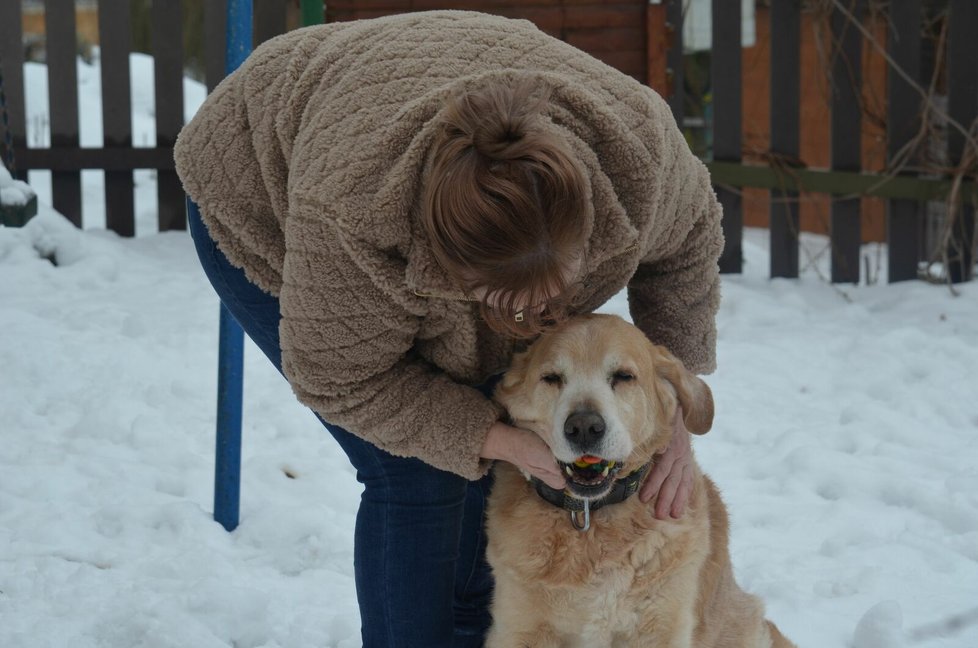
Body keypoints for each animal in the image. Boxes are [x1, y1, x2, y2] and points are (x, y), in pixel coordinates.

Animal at [488, 316, 792, 648]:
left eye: (623, 376)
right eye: (552, 378)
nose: (584, 427)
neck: (589, 518)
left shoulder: (659, 627)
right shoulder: (519, 629)